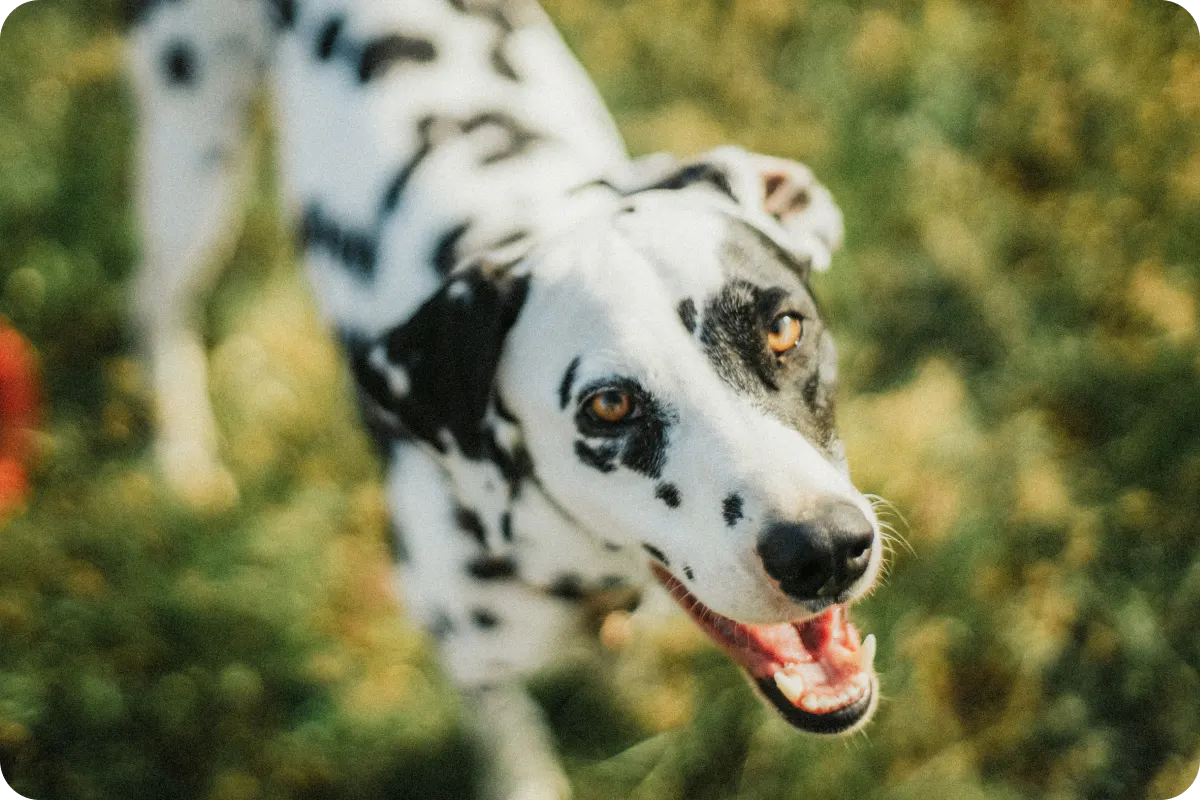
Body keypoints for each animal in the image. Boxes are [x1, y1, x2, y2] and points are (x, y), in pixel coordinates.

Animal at [129, 0, 883, 796]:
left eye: (783, 327)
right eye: (608, 407)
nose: (824, 549)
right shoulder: (474, 667)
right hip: (191, 160)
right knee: (156, 304)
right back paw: (182, 460)